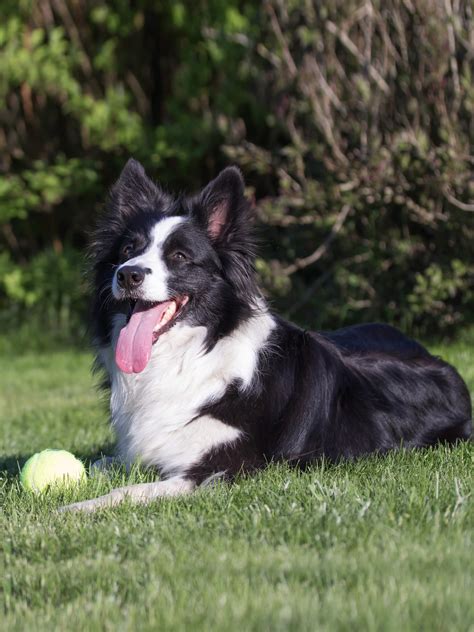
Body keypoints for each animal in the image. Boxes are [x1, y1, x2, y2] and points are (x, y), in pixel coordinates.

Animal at [62, 160, 470, 512]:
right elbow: (96, 462)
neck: (193, 353)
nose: (128, 274)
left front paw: (72, 510)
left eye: (179, 256)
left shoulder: (224, 468)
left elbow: (126, 491)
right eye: (128, 250)